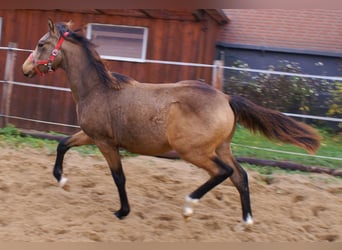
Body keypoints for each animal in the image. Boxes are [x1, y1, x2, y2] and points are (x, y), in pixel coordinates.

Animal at [22, 19, 320, 226]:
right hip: (221, 147)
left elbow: (119, 177)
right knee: (240, 176)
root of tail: (226, 98)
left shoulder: (105, 142)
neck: (98, 89)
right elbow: (62, 144)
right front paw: (62, 180)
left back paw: (189, 206)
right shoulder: (90, 134)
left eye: (40, 44)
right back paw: (246, 221)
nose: (25, 69)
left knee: (222, 172)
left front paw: (122, 211)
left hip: (193, 151)